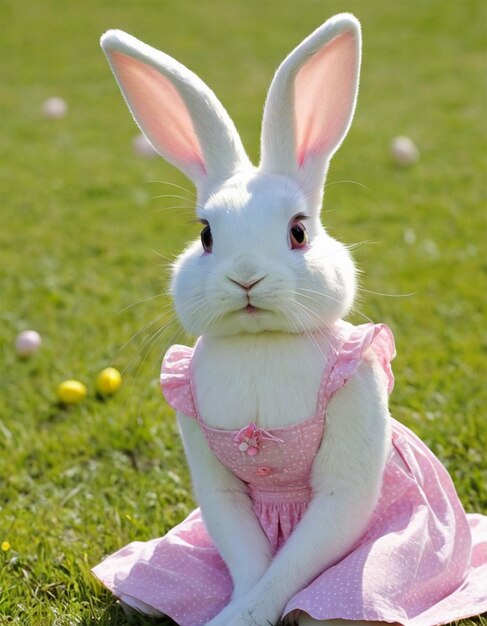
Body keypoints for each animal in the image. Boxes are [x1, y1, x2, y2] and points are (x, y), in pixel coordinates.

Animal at [94, 11, 487, 624]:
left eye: (299, 232)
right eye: (206, 236)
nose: (246, 278)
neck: (264, 342)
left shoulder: (350, 445)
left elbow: (300, 553)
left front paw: (245, 615)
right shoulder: (212, 474)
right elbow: (249, 555)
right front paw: (234, 611)